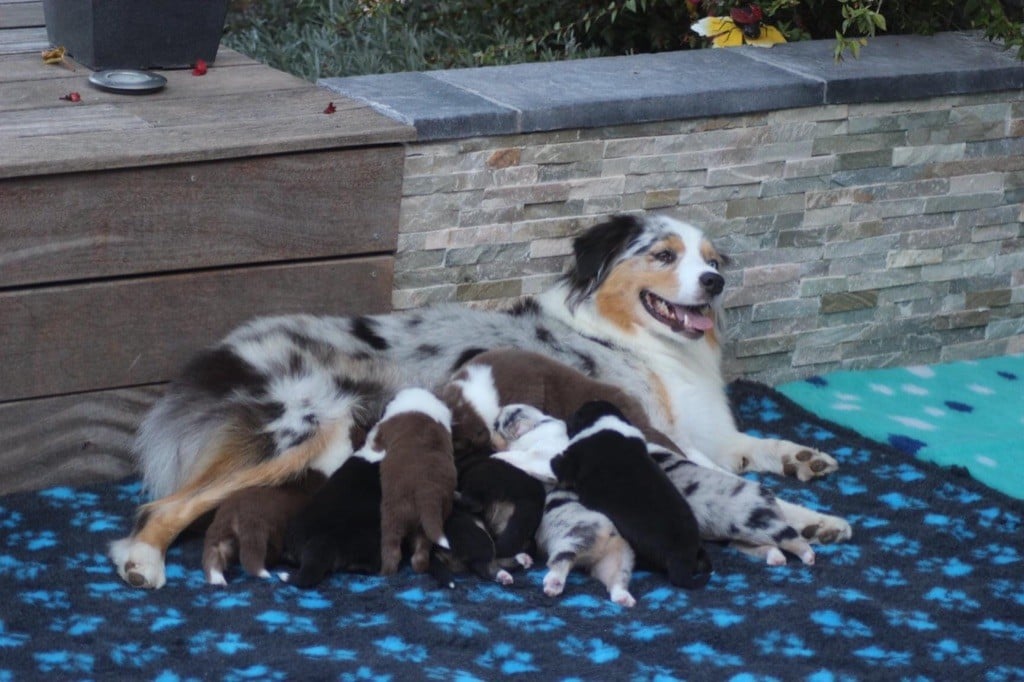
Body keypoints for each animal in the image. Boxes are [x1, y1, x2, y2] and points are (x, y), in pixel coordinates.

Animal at [376, 385, 456, 569]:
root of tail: (427, 493)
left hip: (393, 515)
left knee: (392, 549)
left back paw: (386, 571)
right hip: (427, 523)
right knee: (421, 550)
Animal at [497, 401, 708, 585]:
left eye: (575, 416)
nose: (498, 414)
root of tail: (685, 556)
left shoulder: (554, 461)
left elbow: (521, 457)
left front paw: (500, 455)